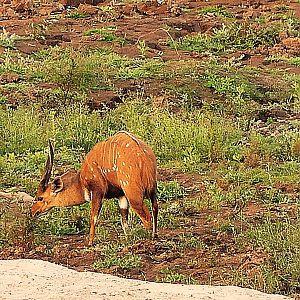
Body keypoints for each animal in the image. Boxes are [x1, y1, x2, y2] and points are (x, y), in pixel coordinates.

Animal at [31, 131, 159, 246]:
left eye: (40, 198)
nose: (32, 212)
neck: (80, 181)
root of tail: (143, 157)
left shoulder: (97, 191)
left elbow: (93, 217)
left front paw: (89, 243)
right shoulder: (120, 195)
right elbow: (124, 220)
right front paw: (128, 239)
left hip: (132, 193)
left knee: (146, 216)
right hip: (152, 189)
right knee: (155, 209)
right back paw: (155, 236)